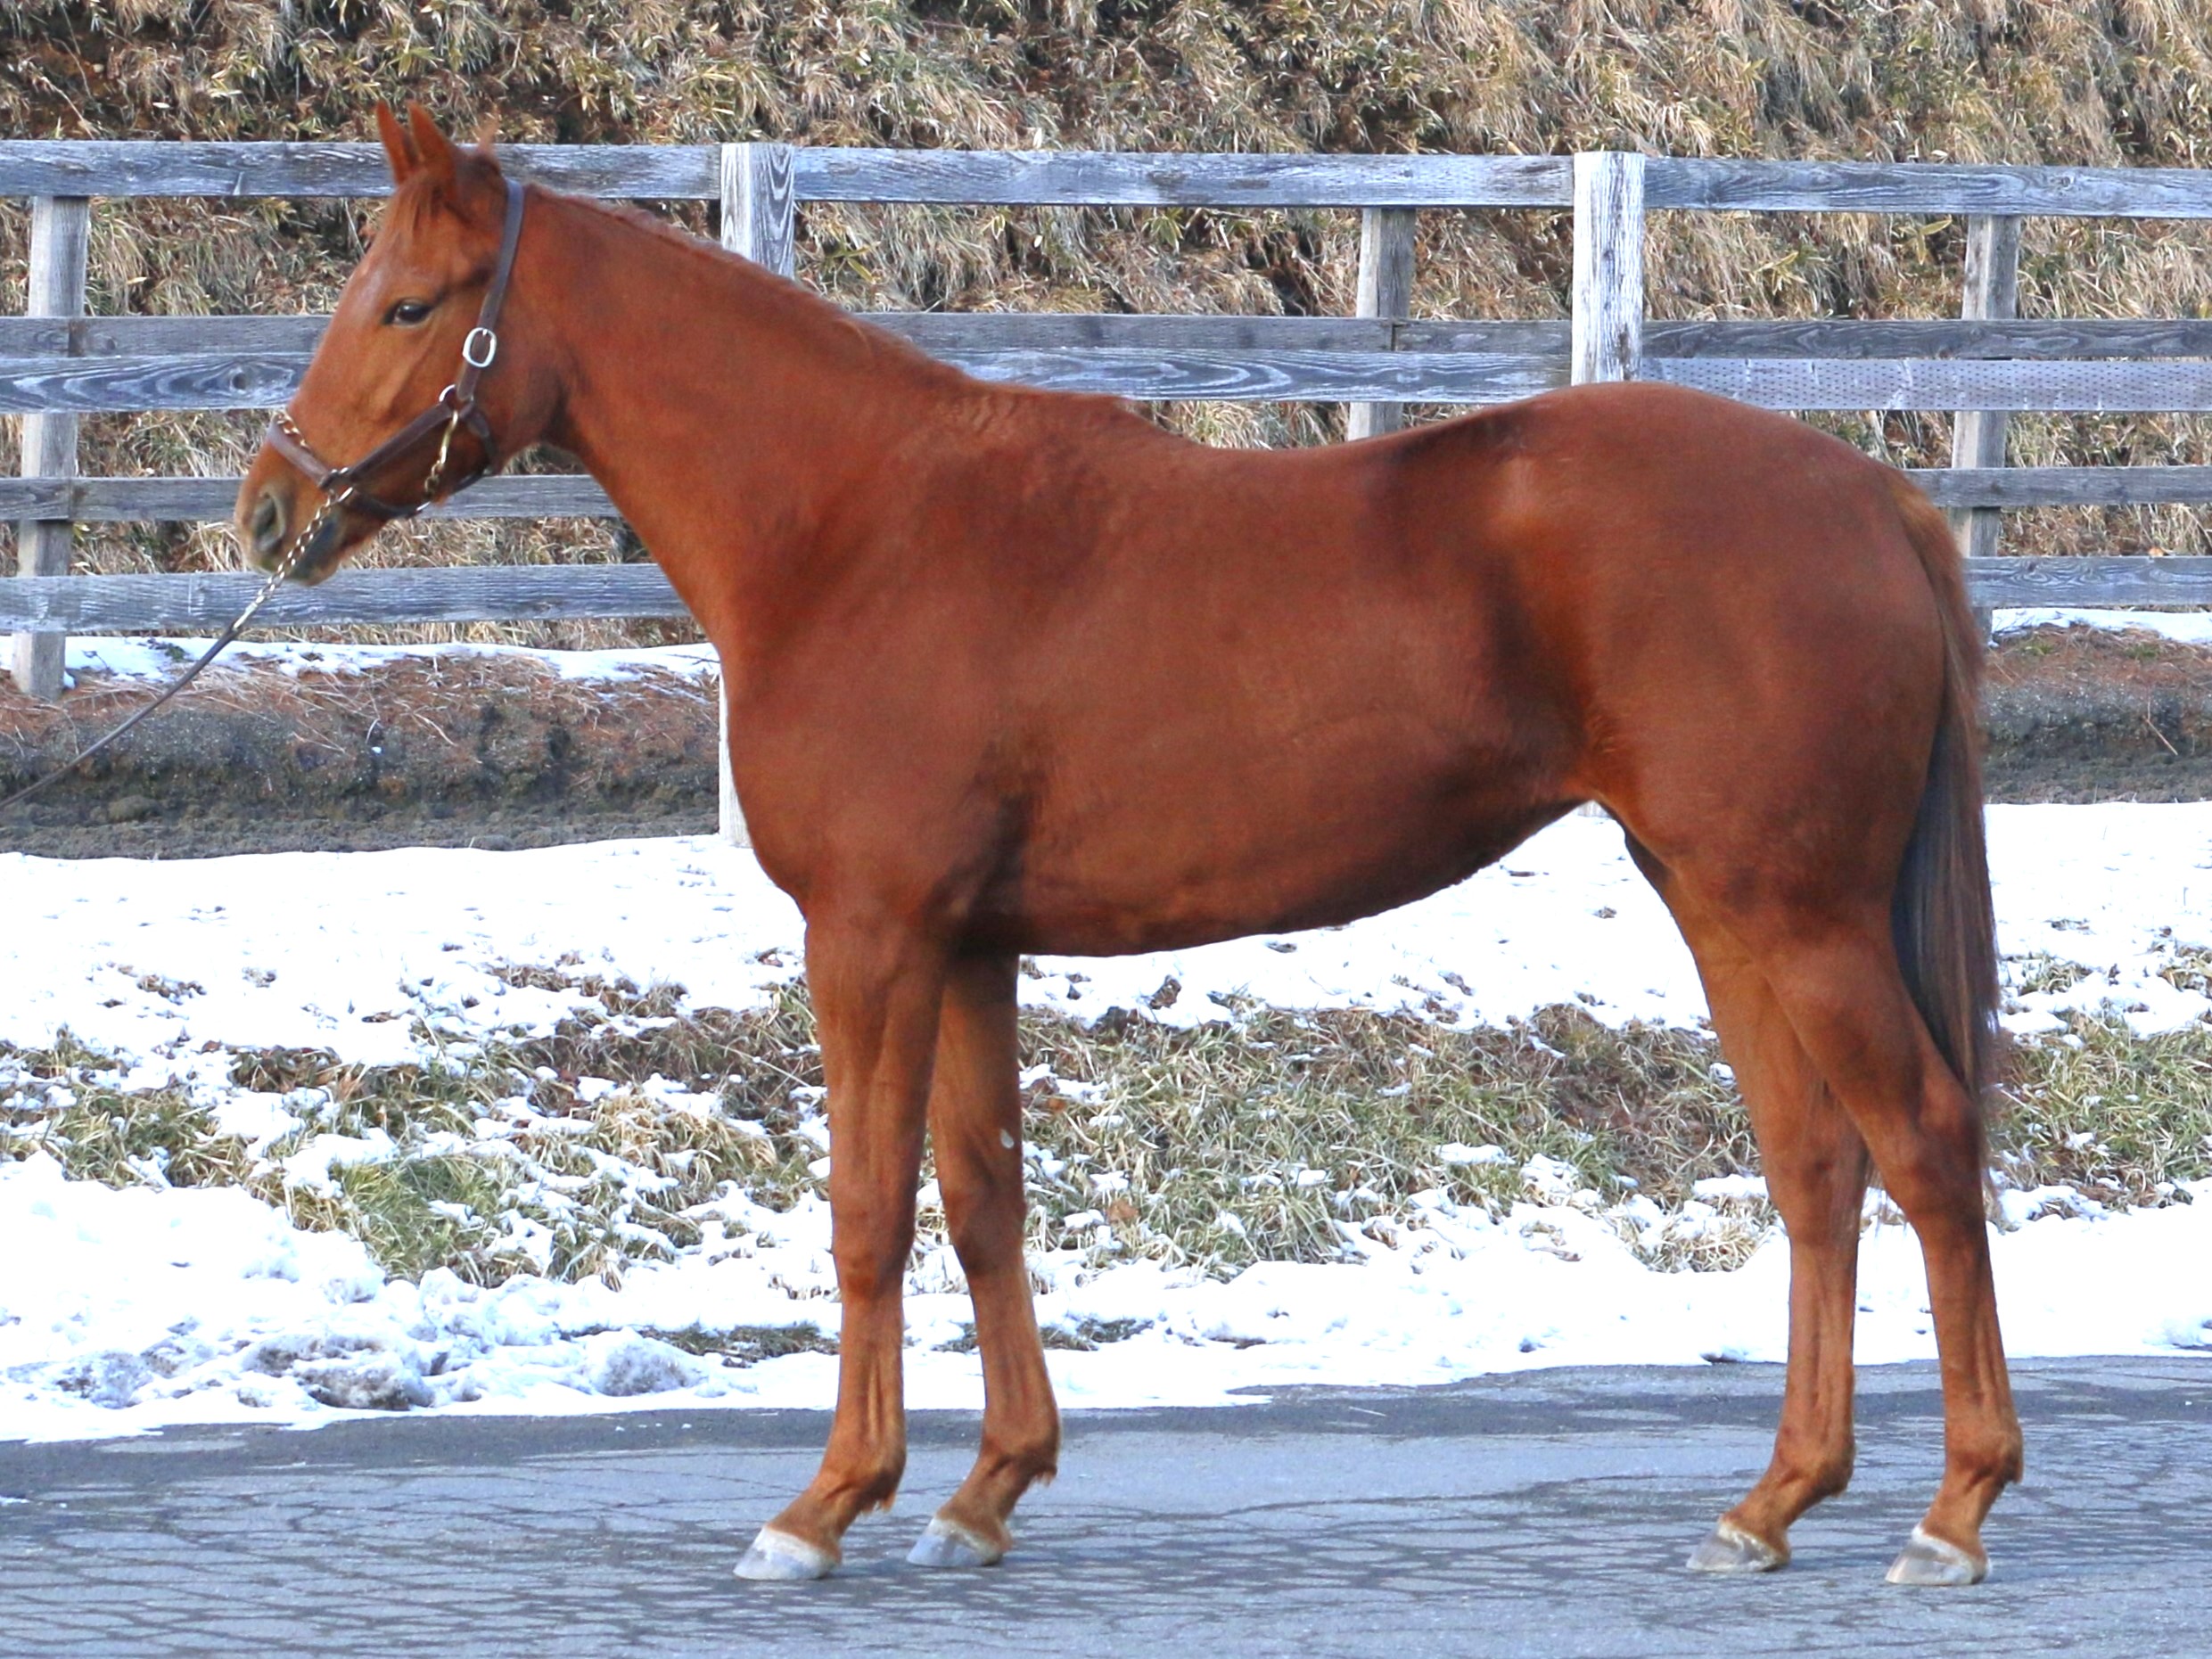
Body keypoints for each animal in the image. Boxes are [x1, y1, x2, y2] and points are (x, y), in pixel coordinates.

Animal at [238, 105, 2019, 1588]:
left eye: (411, 307)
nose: (267, 510)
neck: (853, 530)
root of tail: (1871, 497)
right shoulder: (968, 943)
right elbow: (983, 1198)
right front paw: (983, 1491)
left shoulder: (872, 936)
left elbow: (868, 1209)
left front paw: (824, 1506)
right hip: (1720, 902)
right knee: (1816, 1167)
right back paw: (1771, 1502)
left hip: (1800, 912)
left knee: (1927, 1145)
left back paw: (1952, 1512)